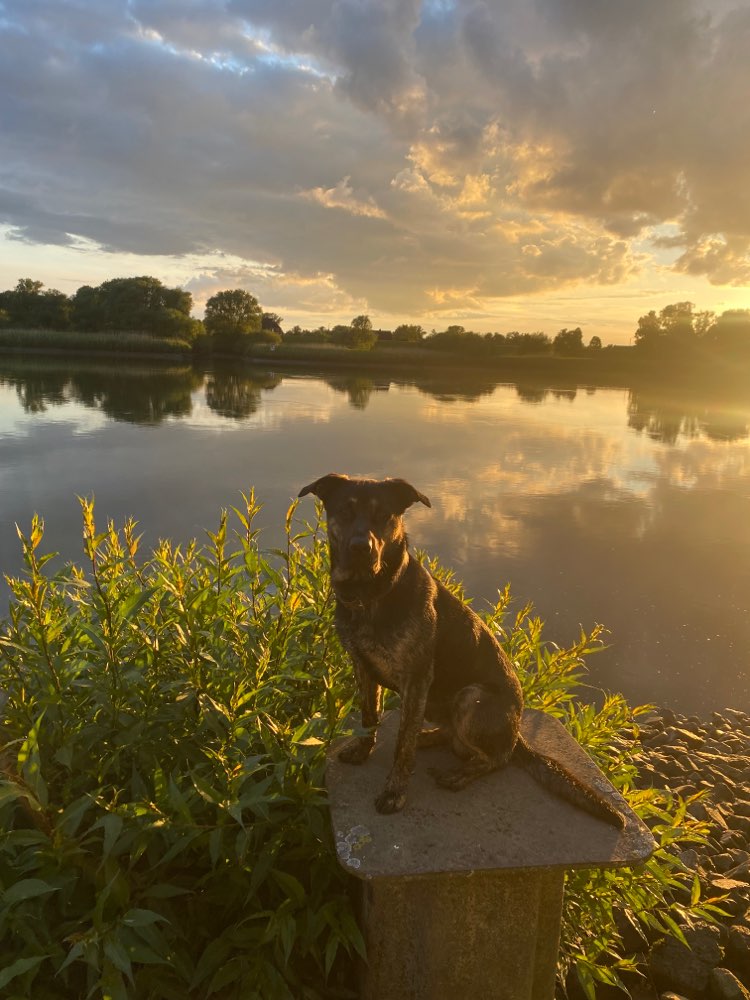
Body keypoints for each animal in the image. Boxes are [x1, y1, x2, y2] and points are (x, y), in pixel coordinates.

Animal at [296, 472, 624, 824]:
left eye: (384, 515)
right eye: (345, 511)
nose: (361, 548)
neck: (371, 594)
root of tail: (517, 735)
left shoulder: (416, 679)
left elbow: (401, 745)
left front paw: (395, 791)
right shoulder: (363, 667)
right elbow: (369, 718)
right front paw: (362, 750)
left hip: (472, 697)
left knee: (498, 758)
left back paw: (460, 773)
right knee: (450, 736)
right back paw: (430, 738)